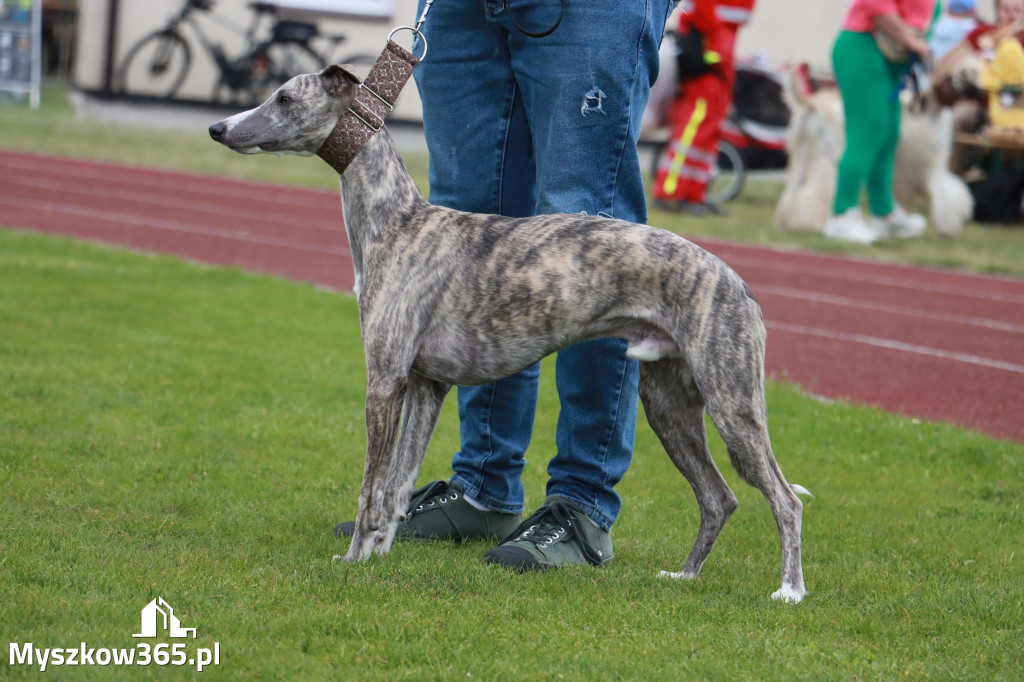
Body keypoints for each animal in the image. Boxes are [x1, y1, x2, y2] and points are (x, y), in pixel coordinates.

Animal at [207, 62, 811, 593]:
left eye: (285, 97)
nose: (218, 128)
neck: (398, 224)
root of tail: (739, 284)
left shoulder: (384, 382)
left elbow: (371, 489)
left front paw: (354, 559)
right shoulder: (426, 385)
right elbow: (398, 487)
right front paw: (378, 555)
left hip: (733, 403)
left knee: (785, 499)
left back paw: (788, 590)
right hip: (670, 405)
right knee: (719, 497)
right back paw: (684, 577)